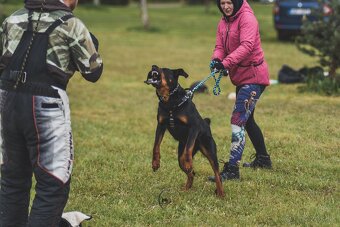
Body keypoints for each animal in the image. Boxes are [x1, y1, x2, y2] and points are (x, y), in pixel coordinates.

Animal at [145, 64, 224, 196]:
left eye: (164, 69)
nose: (153, 66)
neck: (169, 102)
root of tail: (207, 124)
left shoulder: (194, 127)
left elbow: (188, 149)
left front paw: (187, 162)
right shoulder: (160, 125)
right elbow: (156, 146)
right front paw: (155, 163)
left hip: (210, 150)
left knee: (217, 174)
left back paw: (221, 193)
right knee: (191, 172)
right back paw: (186, 188)